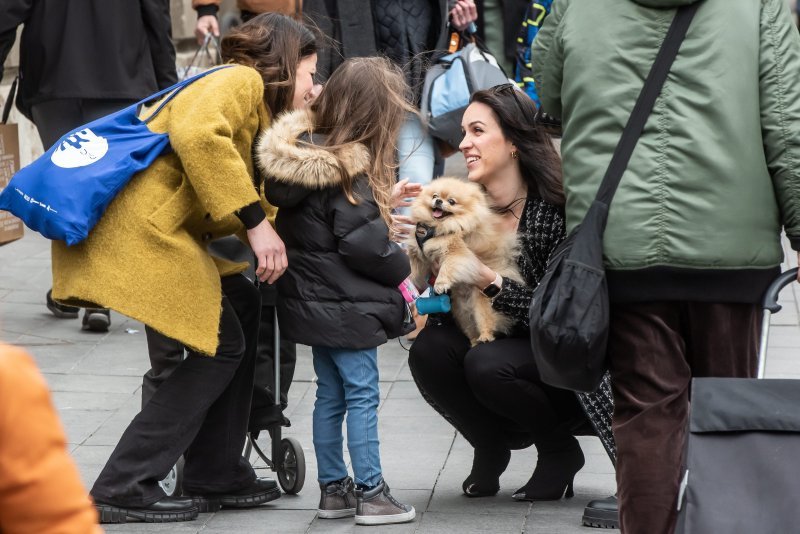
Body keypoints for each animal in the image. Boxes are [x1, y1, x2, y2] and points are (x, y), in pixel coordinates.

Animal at [406, 177, 524, 348]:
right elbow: (412, 266)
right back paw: (474, 342)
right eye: (435, 195)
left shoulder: (457, 253)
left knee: (487, 322)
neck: (437, 228)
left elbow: (447, 267)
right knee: (470, 329)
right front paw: (408, 280)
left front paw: (440, 283)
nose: (439, 201)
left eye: (451, 201)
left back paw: (485, 337)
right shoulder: (420, 253)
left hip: (482, 303)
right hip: (461, 312)